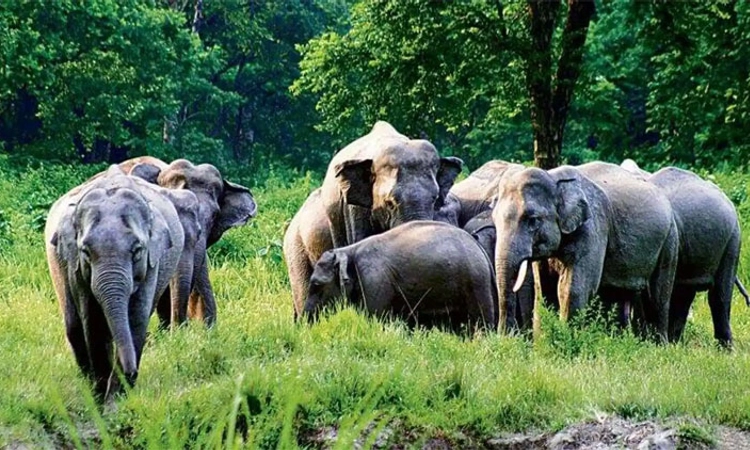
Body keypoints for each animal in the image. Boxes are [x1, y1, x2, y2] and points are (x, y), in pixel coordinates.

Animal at [45, 166, 187, 400]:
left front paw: (117, 397)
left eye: (137, 250)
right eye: (85, 252)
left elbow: (136, 318)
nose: (131, 371)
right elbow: (92, 319)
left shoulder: (152, 263)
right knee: (73, 325)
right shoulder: (75, 265)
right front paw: (101, 397)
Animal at [303, 221, 497, 332]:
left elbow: (375, 317)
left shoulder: (374, 279)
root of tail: (479, 248)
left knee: (481, 321)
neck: (348, 250)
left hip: (476, 281)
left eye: (317, 284)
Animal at [492, 162, 679, 342]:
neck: (554, 178)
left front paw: (566, 340)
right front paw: (543, 343)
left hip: (670, 240)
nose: (505, 339)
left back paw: (658, 345)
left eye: (533, 220)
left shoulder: (592, 228)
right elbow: (543, 288)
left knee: (658, 295)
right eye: (494, 219)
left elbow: (572, 288)